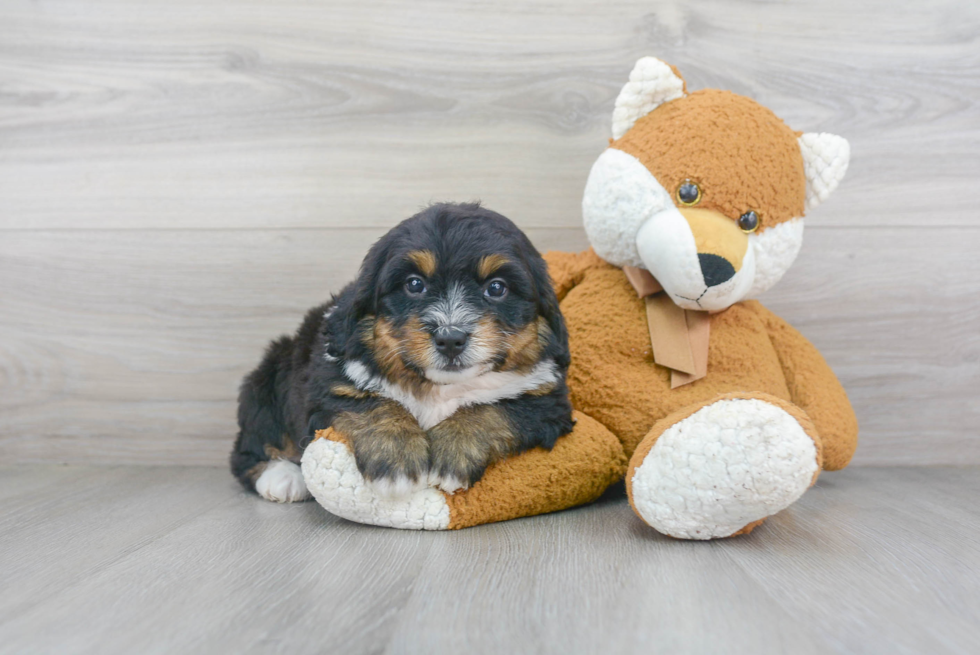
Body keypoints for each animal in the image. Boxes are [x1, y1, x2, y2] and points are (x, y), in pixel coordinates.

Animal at [230, 202, 576, 504]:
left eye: (496, 288)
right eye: (414, 284)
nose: (450, 338)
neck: (438, 387)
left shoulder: (546, 399)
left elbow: (495, 409)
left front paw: (453, 451)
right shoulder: (330, 384)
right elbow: (374, 404)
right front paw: (395, 460)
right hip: (269, 379)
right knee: (248, 449)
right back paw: (283, 477)